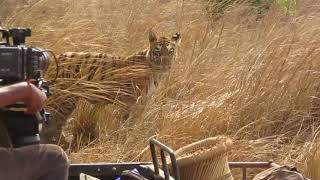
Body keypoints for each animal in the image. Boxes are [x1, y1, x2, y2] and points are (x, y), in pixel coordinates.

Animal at [42, 31, 181, 143]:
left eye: (171, 52)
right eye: (157, 52)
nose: (165, 65)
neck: (156, 73)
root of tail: (55, 57)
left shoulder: (142, 103)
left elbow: (133, 124)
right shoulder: (129, 103)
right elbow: (126, 124)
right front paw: (124, 140)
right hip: (63, 100)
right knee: (53, 123)